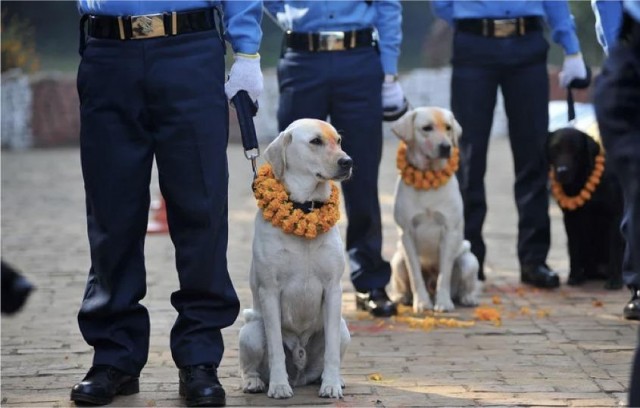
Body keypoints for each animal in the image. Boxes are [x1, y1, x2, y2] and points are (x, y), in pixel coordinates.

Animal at [239, 118, 352, 398]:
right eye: (315, 141)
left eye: (339, 140)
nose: (348, 161)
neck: (306, 207)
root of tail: (300, 375)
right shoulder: (269, 290)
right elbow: (276, 348)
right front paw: (279, 385)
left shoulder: (333, 289)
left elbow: (332, 350)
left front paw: (331, 385)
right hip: (250, 331)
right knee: (250, 364)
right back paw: (255, 382)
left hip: (344, 328)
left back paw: (331, 378)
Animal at [388, 106, 478, 312]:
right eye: (426, 128)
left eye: (448, 127)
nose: (446, 147)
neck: (427, 177)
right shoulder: (407, 232)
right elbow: (415, 275)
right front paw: (421, 303)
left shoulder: (449, 231)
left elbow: (444, 275)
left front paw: (443, 303)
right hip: (397, 261)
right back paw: (402, 298)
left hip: (469, 261)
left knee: (465, 283)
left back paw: (467, 298)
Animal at [548, 127, 624, 290]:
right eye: (555, 149)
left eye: (574, 150)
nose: (562, 171)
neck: (581, 182)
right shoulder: (570, 219)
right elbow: (574, 249)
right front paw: (574, 277)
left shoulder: (615, 216)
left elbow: (615, 250)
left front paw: (615, 281)